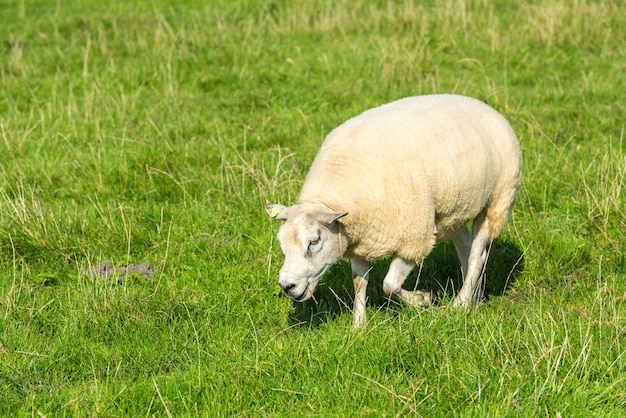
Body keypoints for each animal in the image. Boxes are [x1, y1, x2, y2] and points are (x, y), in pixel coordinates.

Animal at [266, 94, 520, 326]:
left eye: (314, 241)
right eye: (282, 244)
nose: (287, 286)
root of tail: (482, 104)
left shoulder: (414, 238)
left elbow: (389, 285)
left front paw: (422, 299)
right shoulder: (360, 239)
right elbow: (359, 282)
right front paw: (359, 326)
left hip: (498, 200)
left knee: (478, 252)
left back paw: (462, 302)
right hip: (451, 214)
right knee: (466, 247)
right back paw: (475, 296)